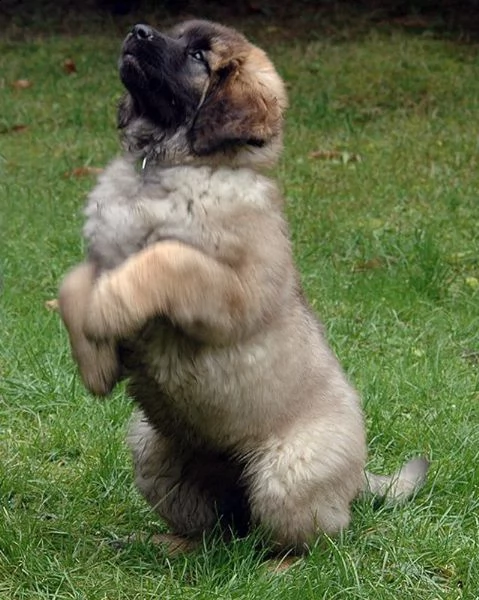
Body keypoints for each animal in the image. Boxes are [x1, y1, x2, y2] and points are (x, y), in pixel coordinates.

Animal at [57, 19, 432, 552]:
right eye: (174, 33)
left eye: (198, 55)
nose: (138, 30)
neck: (164, 165)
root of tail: (358, 477)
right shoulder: (102, 255)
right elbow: (73, 284)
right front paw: (95, 364)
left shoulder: (230, 290)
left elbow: (164, 259)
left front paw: (107, 310)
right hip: (152, 451)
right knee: (218, 529)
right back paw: (172, 544)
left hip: (287, 474)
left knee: (312, 538)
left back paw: (278, 562)